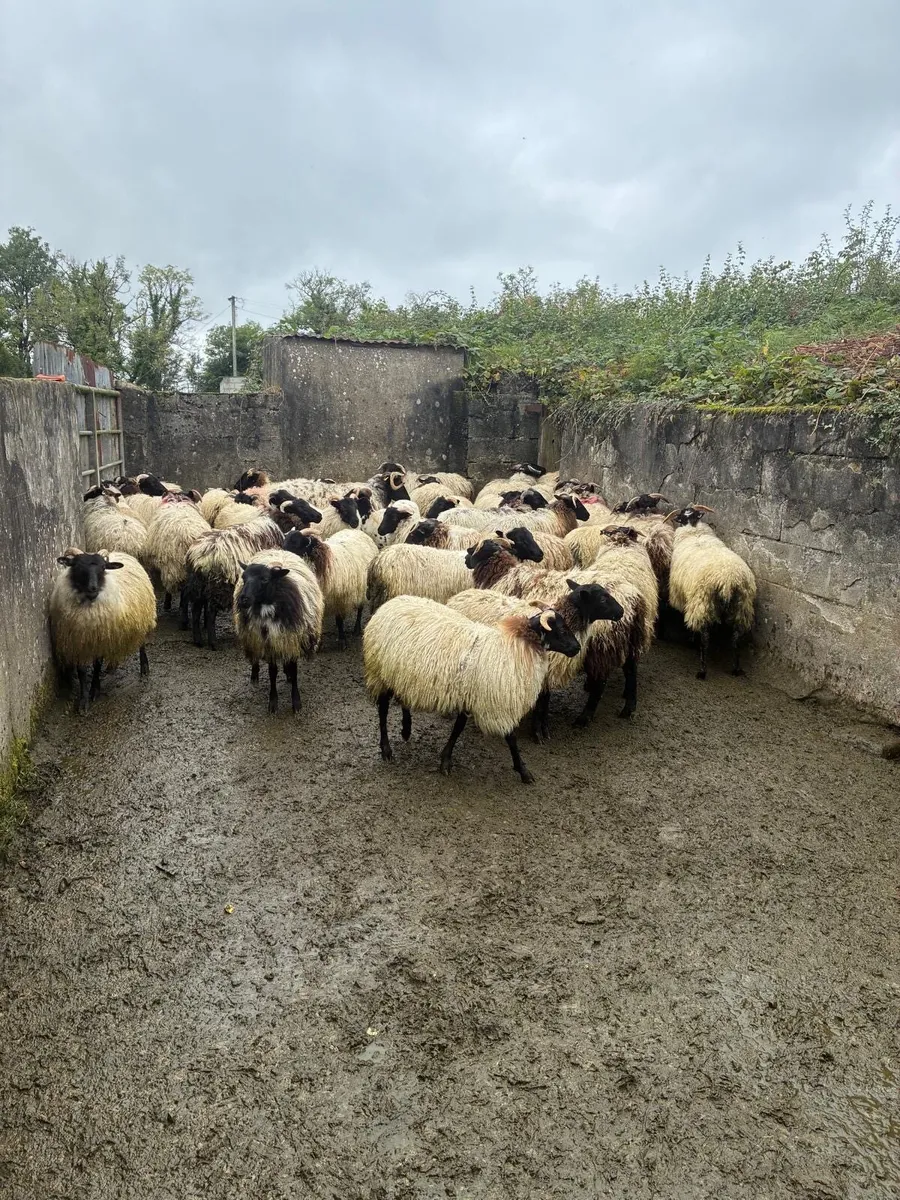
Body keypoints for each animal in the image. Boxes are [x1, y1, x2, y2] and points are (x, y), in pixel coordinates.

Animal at [50, 549, 157, 713]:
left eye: (103, 568)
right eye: (77, 566)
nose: (92, 588)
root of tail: (123, 552)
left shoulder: (100, 639)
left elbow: (97, 665)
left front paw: (95, 689)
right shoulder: (78, 642)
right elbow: (81, 671)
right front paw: (83, 701)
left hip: (141, 620)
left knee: (141, 643)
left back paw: (144, 668)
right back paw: (112, 666)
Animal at [232, 548, 324, 713]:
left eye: (265, 579)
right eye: (243, 577)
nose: (243, 599)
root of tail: (275, 549)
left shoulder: (291, 641)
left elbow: (294, 671)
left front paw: (296, 702)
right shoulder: (269, 645)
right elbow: (272, 673)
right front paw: (273, 702)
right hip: (253, 638)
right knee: (255, 656)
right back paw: (254, 675)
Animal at [363, 595, 580, 782]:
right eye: (562, 630)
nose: (577, 648)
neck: (514, 647)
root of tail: (389, 604)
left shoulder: (468, 696)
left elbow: (458, 728)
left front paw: (445, 760)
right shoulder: (497, 705)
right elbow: (511, 738)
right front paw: (523, 771)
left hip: (401, 675)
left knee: (404, 698)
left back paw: (406, 730)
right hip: (379, 672)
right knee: (383, 710)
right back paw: (386, 749)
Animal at [665, 505, 757, 679]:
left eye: (681, 517)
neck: (694, 530)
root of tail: (728, 581)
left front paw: (691, 640)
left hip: (702, 602)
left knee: (704, 636)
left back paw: (702, 670)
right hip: (741, 606)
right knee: (736, 639)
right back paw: (736, 668)